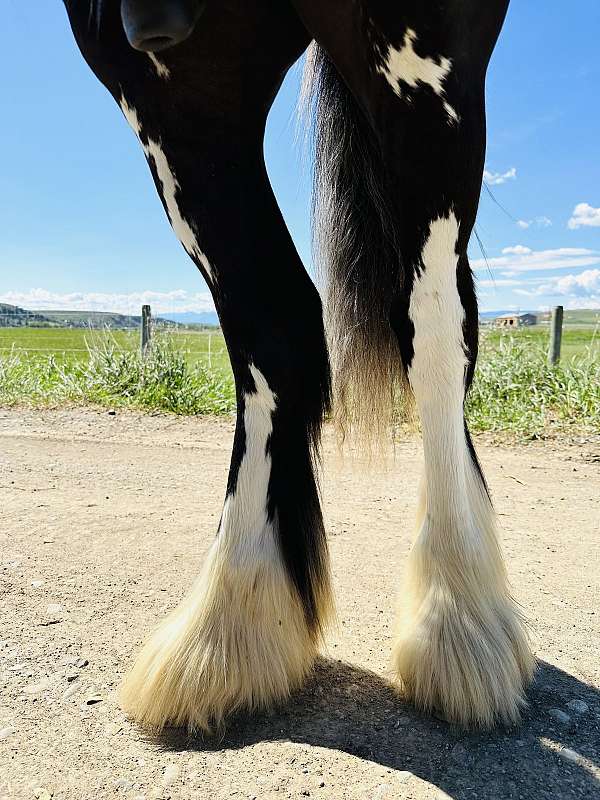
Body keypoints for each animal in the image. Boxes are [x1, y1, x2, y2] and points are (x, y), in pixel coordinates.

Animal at [62, 0, 535, 733]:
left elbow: (432, 325)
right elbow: (272, 330)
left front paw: (456, 621)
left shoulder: (430, 48)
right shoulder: (167, 87)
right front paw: (230, 624)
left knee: (438, 316)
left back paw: (460, 597)